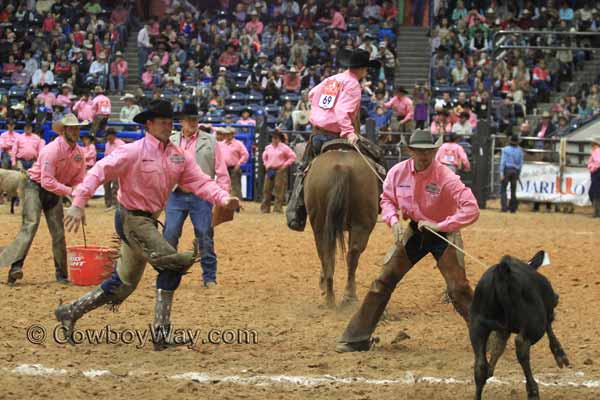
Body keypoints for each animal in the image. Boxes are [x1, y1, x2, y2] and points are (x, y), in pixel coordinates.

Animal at [308, 150, 378, 310]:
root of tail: (342, 167)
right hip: (361, 224)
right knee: (351, 255)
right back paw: (345, 296)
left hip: (322, 226)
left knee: (328, 254)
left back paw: (331, 297)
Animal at [468, 252, 568, 398]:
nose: (557, 296)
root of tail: (502, 273)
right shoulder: (544, 313)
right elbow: (549, 327)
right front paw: (560, 354)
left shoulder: (502, 330)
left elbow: (498, 346)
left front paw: (490, 370)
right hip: (534, 325)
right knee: (522, 345)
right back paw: (532, 390)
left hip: (477, 326)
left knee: (480, 366)